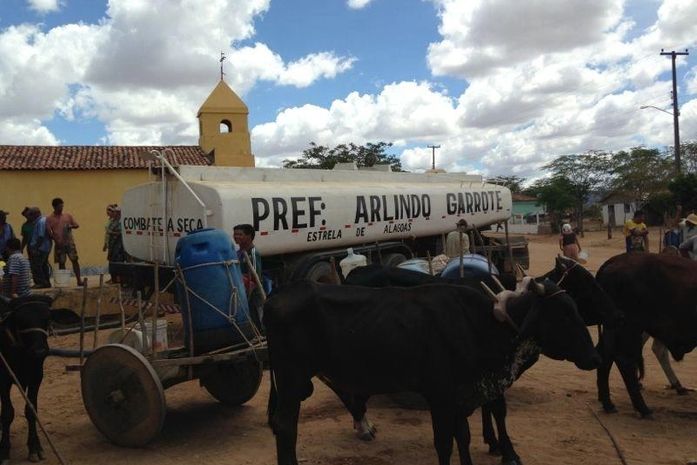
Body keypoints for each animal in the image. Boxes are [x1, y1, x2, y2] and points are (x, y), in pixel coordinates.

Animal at [0, 294, 53, 464]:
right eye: (21, 320)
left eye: (47, 318)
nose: (40, 351)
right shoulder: (4, 379)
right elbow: (7, 413)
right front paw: (4, 451)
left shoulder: (36, 376)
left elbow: (31, 410)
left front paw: (35, 447)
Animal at [264, 280, 596, 464]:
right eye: (563, 314)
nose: (595, 356)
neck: (477, 324)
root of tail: (277, 295)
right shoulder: (440, 395)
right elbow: (444, 443)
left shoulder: (461, 396)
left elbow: (463, 437)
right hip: (291, 377)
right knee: (285, 426)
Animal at [588, 252, 696, 416]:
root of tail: (615, 260)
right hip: (629, 327)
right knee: (625, 360)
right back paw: (643, 408)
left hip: (614, 328)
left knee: (606, 355)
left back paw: (608, 403)